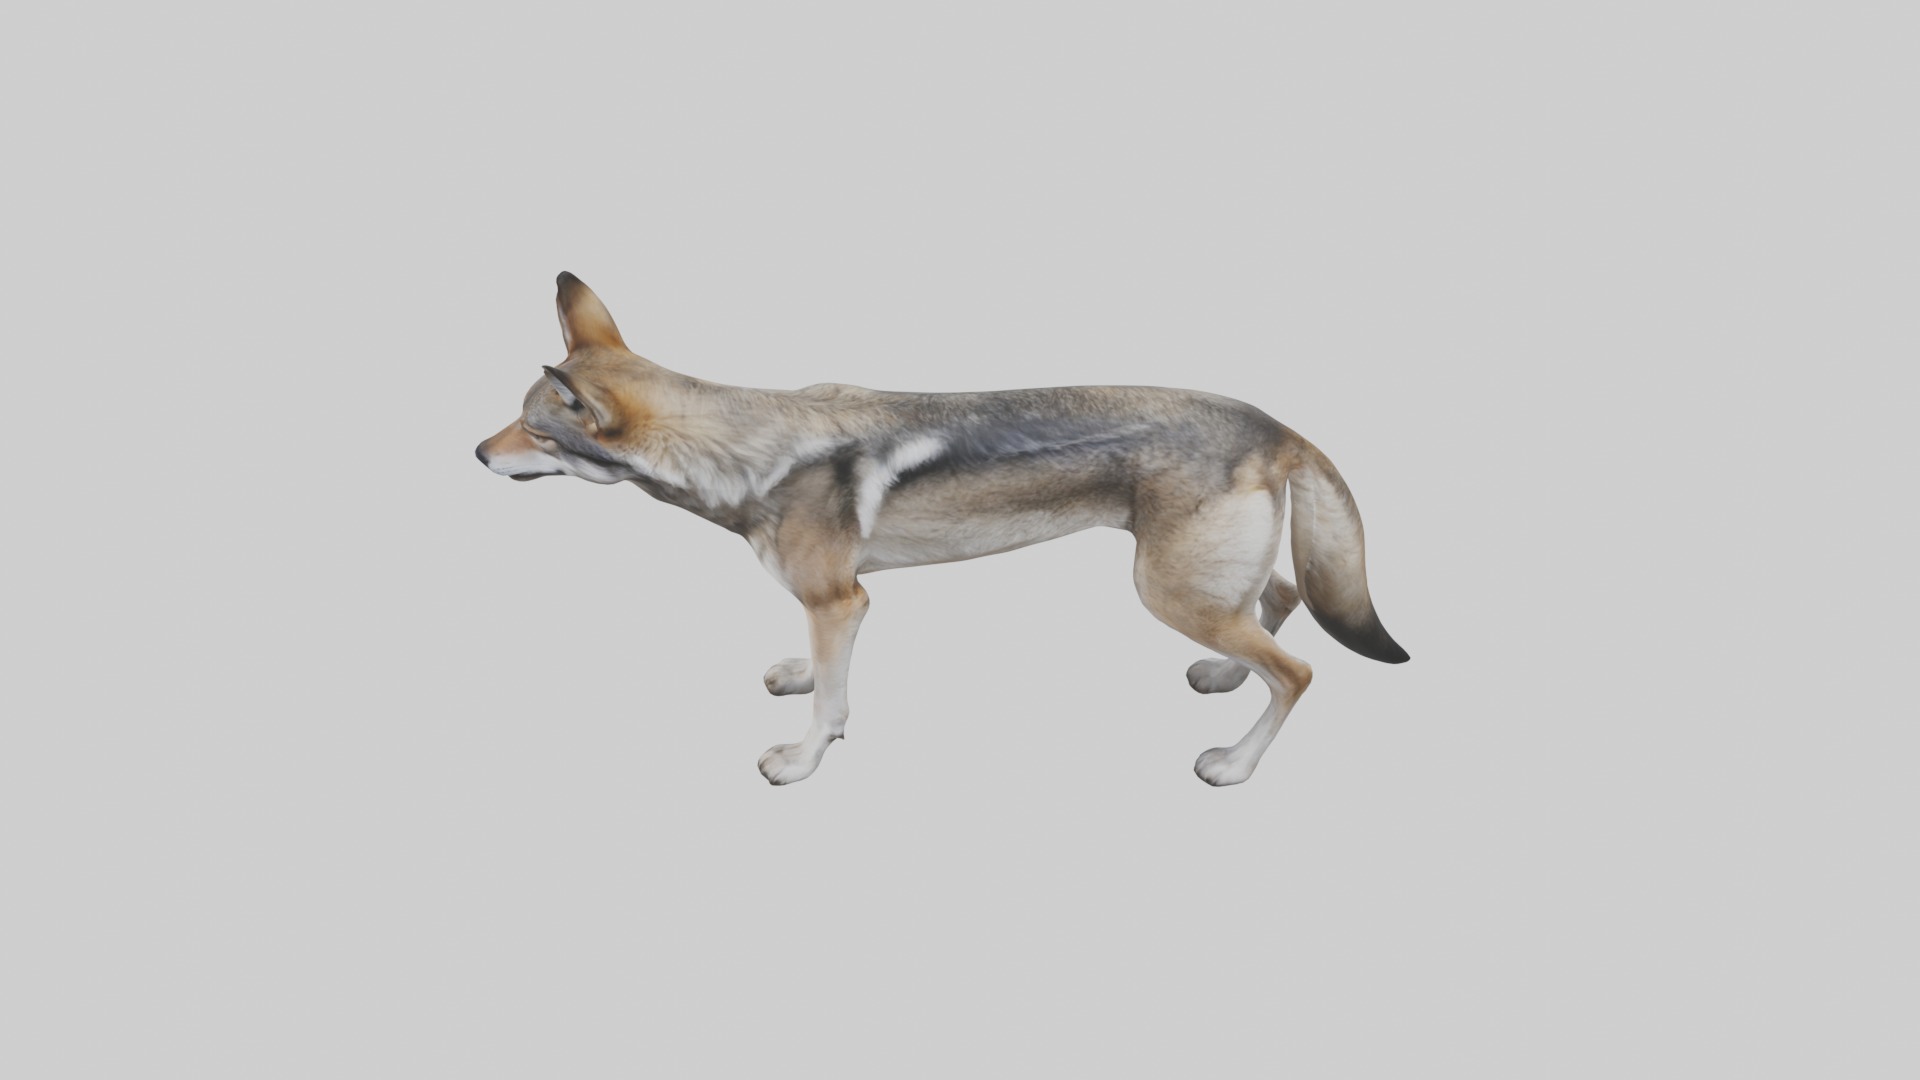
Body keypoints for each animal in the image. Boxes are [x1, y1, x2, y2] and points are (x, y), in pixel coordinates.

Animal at [477, 273, 1408, 786]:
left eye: (535, 431)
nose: (477, 452)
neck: (748, 449)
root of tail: (1275, 422)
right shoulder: (835, 603)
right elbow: (822, 674)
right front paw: (800, 681)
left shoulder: (842, 601)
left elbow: (835, 701)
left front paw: (802, 762)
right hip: (1203, 588)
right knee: (1280, 602)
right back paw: (1221, 676)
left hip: (1166, 592)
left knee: (1298, 671)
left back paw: (1234, 764)